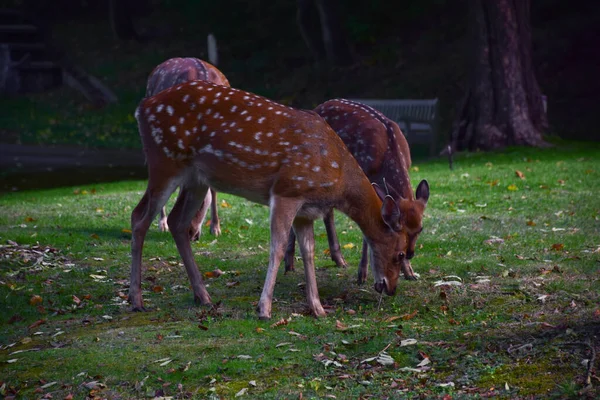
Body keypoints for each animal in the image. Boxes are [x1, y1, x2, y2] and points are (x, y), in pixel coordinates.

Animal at [130, 81, 412, 318]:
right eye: (400, 253)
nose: (391, 288)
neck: (338, 175)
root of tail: (142, 107)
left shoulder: (306, 210)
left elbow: (309, 251)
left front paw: (318, 308)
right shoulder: (287, 190)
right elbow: (276, 247)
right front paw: (264, 308)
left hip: (196, 179)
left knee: (178, 222)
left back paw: (203, 296)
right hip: (165, 160)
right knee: (139, 217)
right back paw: (137, 300)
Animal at [284, 98, 428, 282]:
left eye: (420, 228)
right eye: (400, 228)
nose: (409, 254)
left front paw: (409, 272)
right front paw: (362, 274)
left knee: (327, 211)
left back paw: (339, 259)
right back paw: (289, 263)